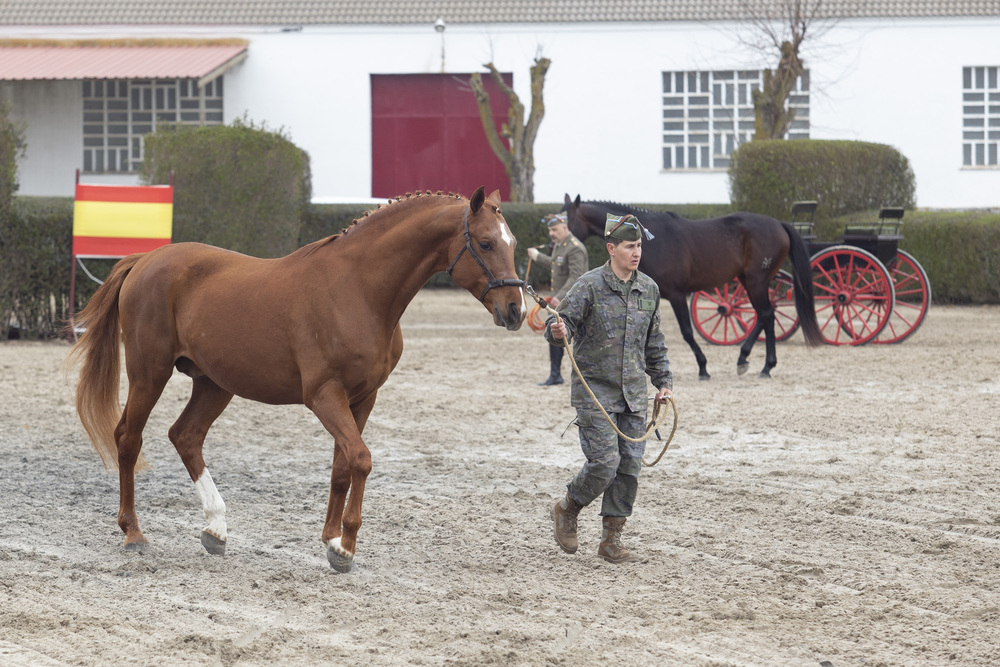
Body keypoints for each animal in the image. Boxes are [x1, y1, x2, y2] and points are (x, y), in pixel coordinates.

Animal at [67, 188, 528, 576]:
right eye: (485, 243)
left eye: (513, 244)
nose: (516, 310)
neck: (358, 289)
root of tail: (145, 260)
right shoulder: (324, 396)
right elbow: (361, 459)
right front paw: (345, 549)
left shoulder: (364, 398)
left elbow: (343, 466)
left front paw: (331, 538)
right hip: (150, 374)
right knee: (129, 439)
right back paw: (133, 533)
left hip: (215, 384)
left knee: (186, 436)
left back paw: (216, 529)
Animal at [564, 196, 820, 378]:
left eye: (569, 220)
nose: (562, 243)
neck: (656, 240)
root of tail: (778, 224)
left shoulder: (678, 296)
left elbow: (687, 332)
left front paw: (703, 367)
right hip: (749, 281)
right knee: (764, 316)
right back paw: (747, 360)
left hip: (757, 282)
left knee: (766, 315)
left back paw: (765, 366)